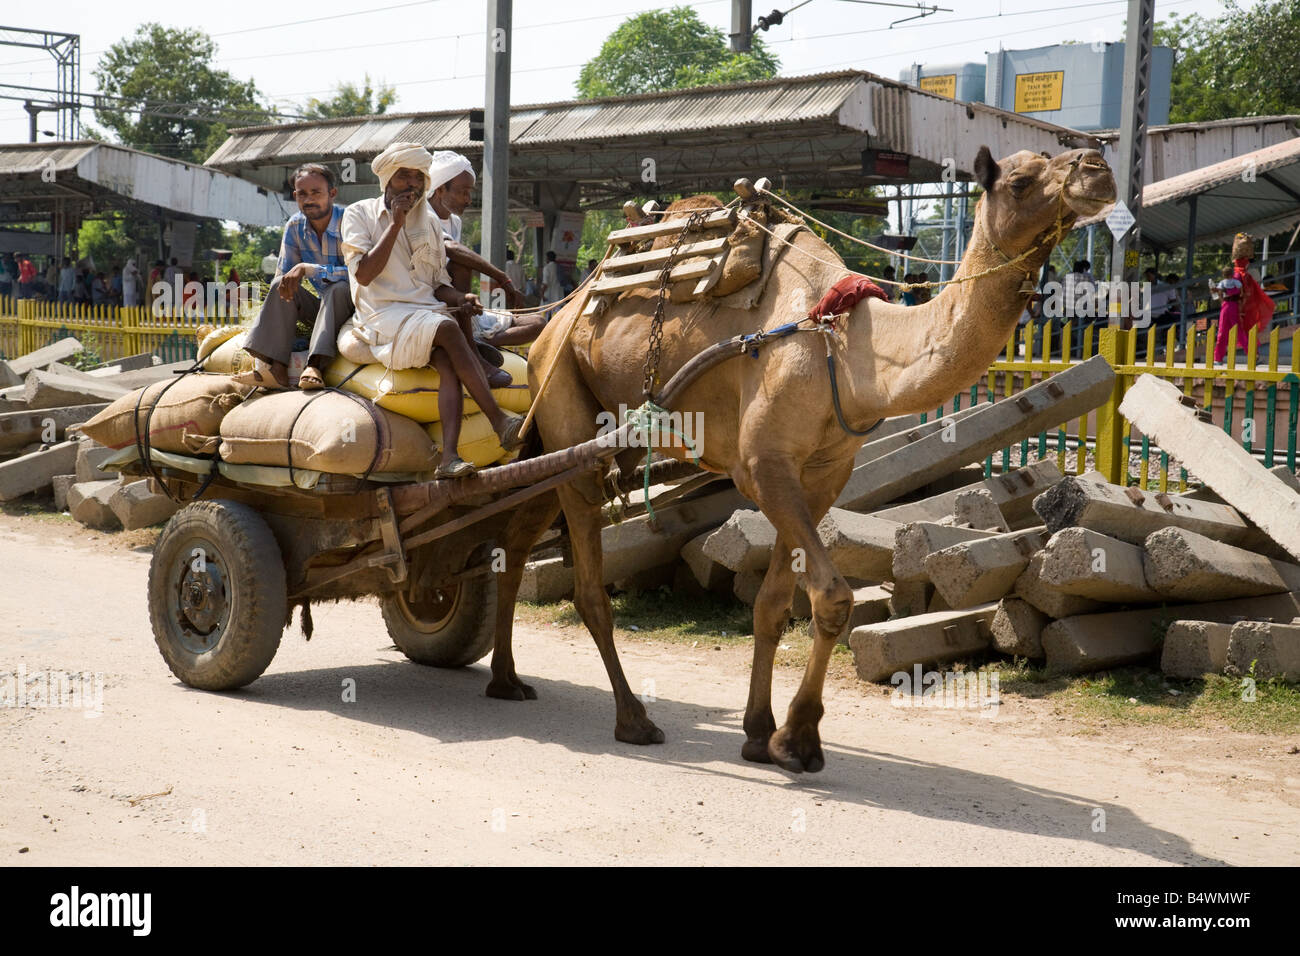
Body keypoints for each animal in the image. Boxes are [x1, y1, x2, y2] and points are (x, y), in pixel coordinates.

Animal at [484, 146, 1116, 773]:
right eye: (1021, 179)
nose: (1099, 167)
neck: (847, 348)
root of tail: (552, 324)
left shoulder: (822, 474)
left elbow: (772, 602)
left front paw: (760, 733)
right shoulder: (763, 465)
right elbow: (832, 597)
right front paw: (800, 740)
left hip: (576, 440)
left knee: (514, 536)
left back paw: (507, 680)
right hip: (566, 407)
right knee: (588, 586)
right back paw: (633, 719)